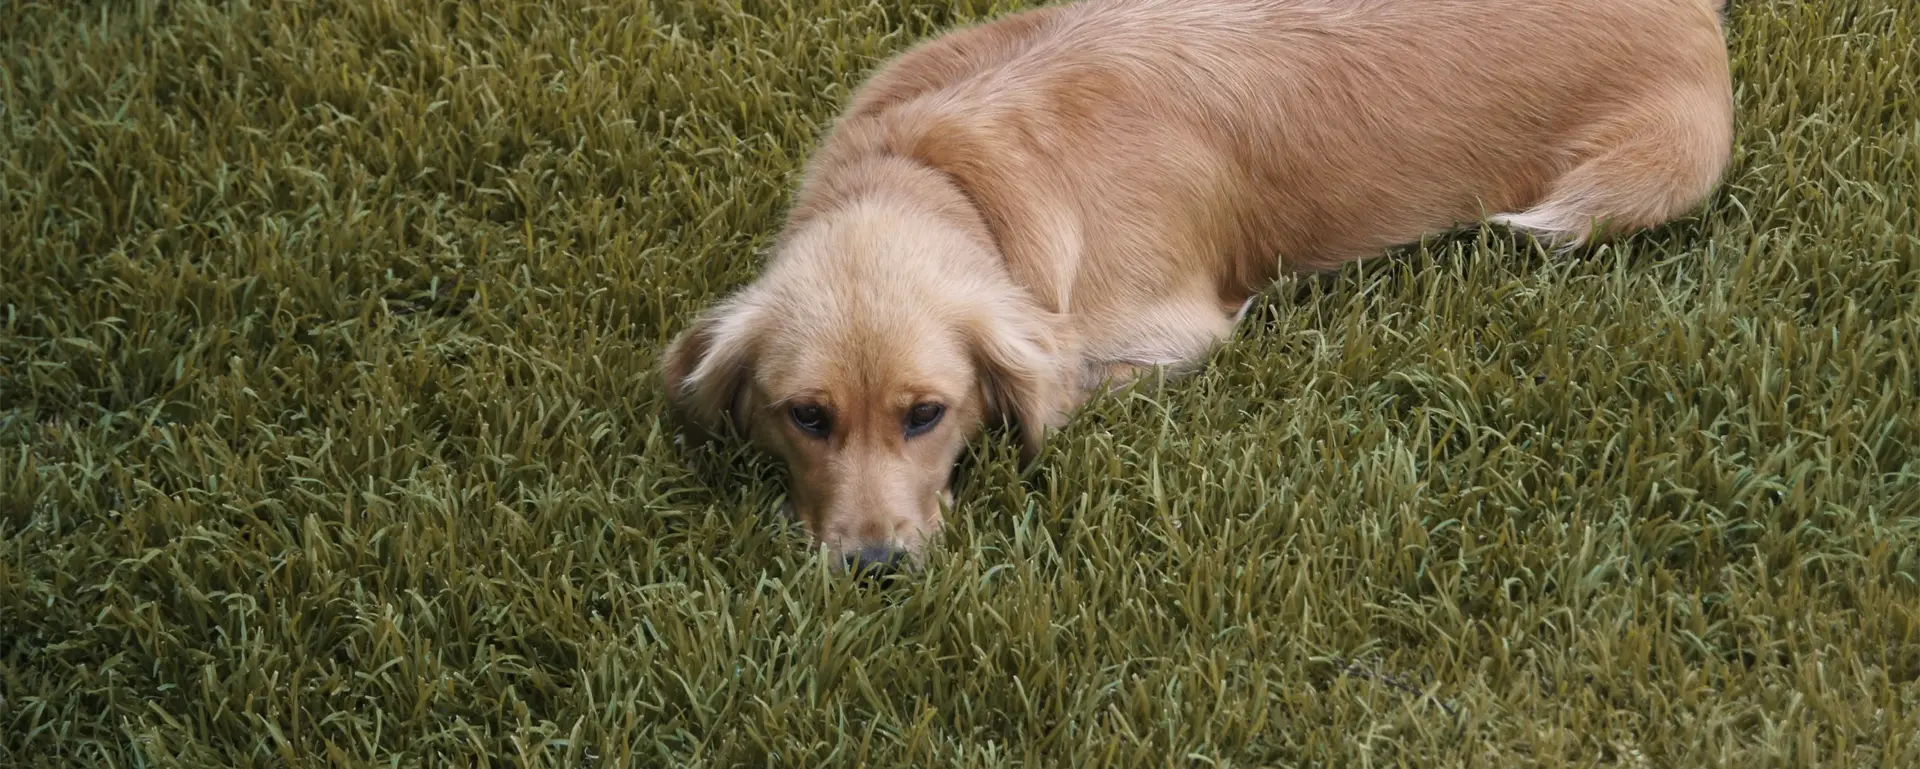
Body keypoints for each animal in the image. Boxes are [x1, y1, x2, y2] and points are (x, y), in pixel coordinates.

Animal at [660, 0, 1743, 567]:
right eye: (806, 416)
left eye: (927, 414)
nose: (875, 566)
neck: (942, 170)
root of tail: (1698, 16)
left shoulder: (1174, 333)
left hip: (1630, 179)